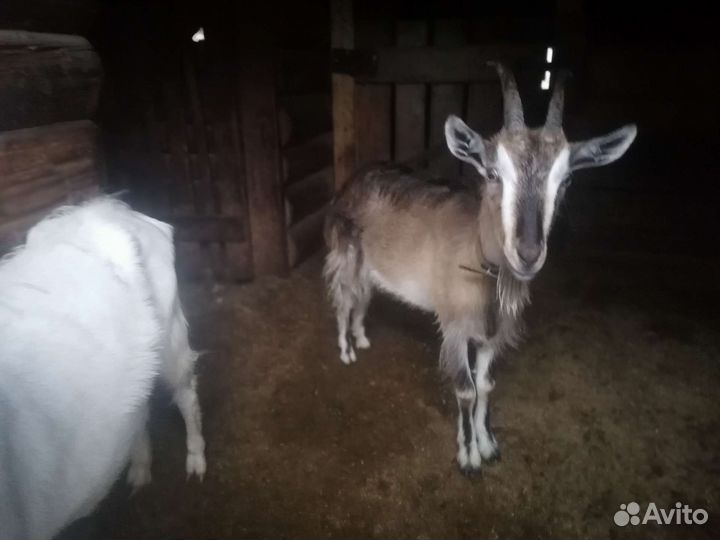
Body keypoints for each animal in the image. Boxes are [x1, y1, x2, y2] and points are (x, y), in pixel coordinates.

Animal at [324, 63, 637, 474]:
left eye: (566, 179)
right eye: (492, 173)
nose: (528, 253)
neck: (479, 261)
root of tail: (353, 181)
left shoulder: (493, 333)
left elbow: (486, 384)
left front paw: (488, 443)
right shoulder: (455, 326)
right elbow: (465, 389)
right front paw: (469, 457)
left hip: (371, 268)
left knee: (363, 299)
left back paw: (361, 338)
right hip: (346, 256)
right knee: (344, 300)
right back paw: (346, 350)